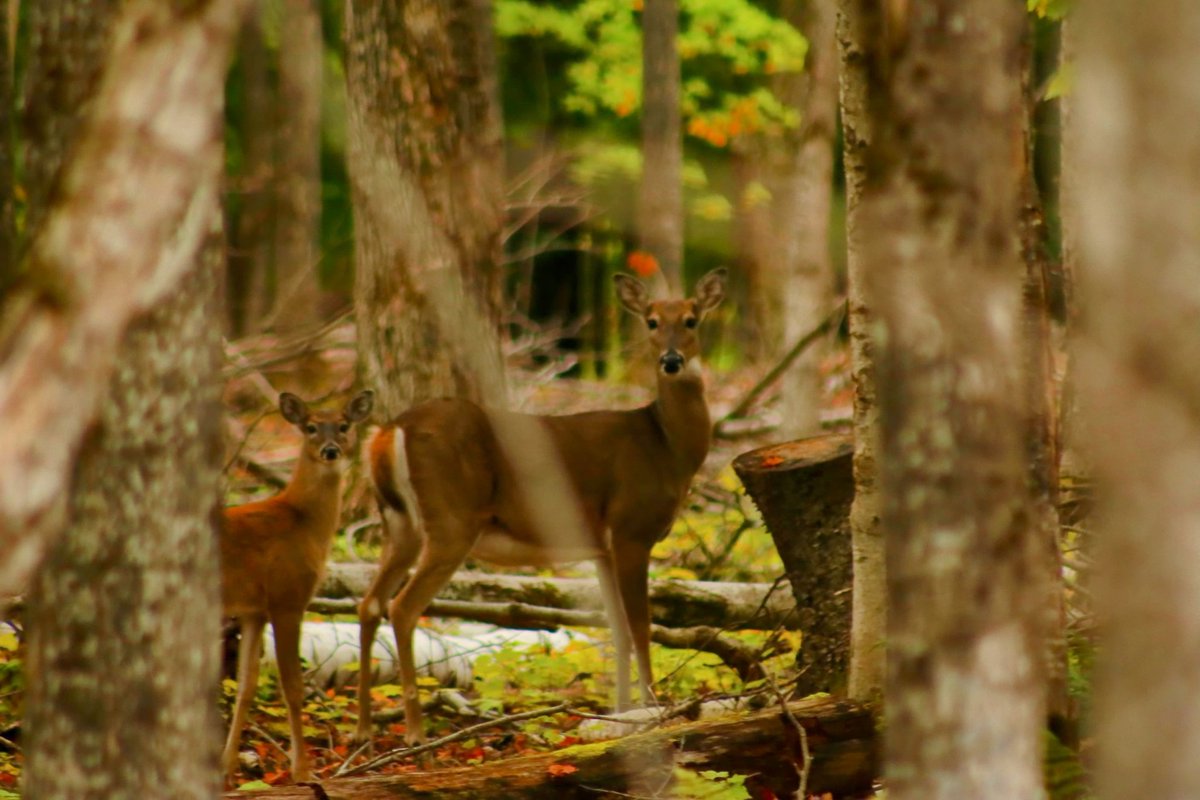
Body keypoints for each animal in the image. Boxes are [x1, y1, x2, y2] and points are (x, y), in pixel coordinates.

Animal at [219, 389, 374, 783]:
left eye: (344, 425)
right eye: (311, 427)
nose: (331, 450)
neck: (302, 521)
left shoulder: (254, 611)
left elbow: (246, 684)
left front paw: (227, 768)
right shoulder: (288, 597)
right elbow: (292, 686)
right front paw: (302, 770)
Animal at [353, 268, 727, 747]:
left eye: (692, 319)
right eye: (652, 321)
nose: (672, 361)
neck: (667, 446)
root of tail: (390, 431)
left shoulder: (601, 548)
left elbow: (617, 631)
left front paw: (621, 714)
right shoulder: (631, 530)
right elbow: (641, 627)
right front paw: (653, 708)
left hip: (400, 525)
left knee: (370, 604)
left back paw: (364, 729)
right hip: (451, 520)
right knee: (402, 607)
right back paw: (417, 735)